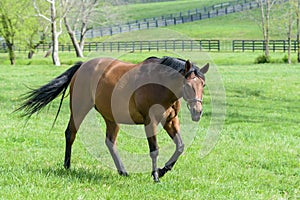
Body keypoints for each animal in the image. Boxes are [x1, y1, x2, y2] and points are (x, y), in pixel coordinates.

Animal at [17, 56, 209, 183]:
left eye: (203, 85)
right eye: (188, 85)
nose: (197, 112)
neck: (159, 84)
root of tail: (82, 66)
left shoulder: (170, 121)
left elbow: (180, 147)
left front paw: (162, 171)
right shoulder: (150, 122)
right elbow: (154, 150)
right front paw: (156, 176)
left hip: (111, 118)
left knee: (110, 142)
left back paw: (122, 171)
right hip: (79, 109)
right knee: (71, 133)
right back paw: (67, 166)